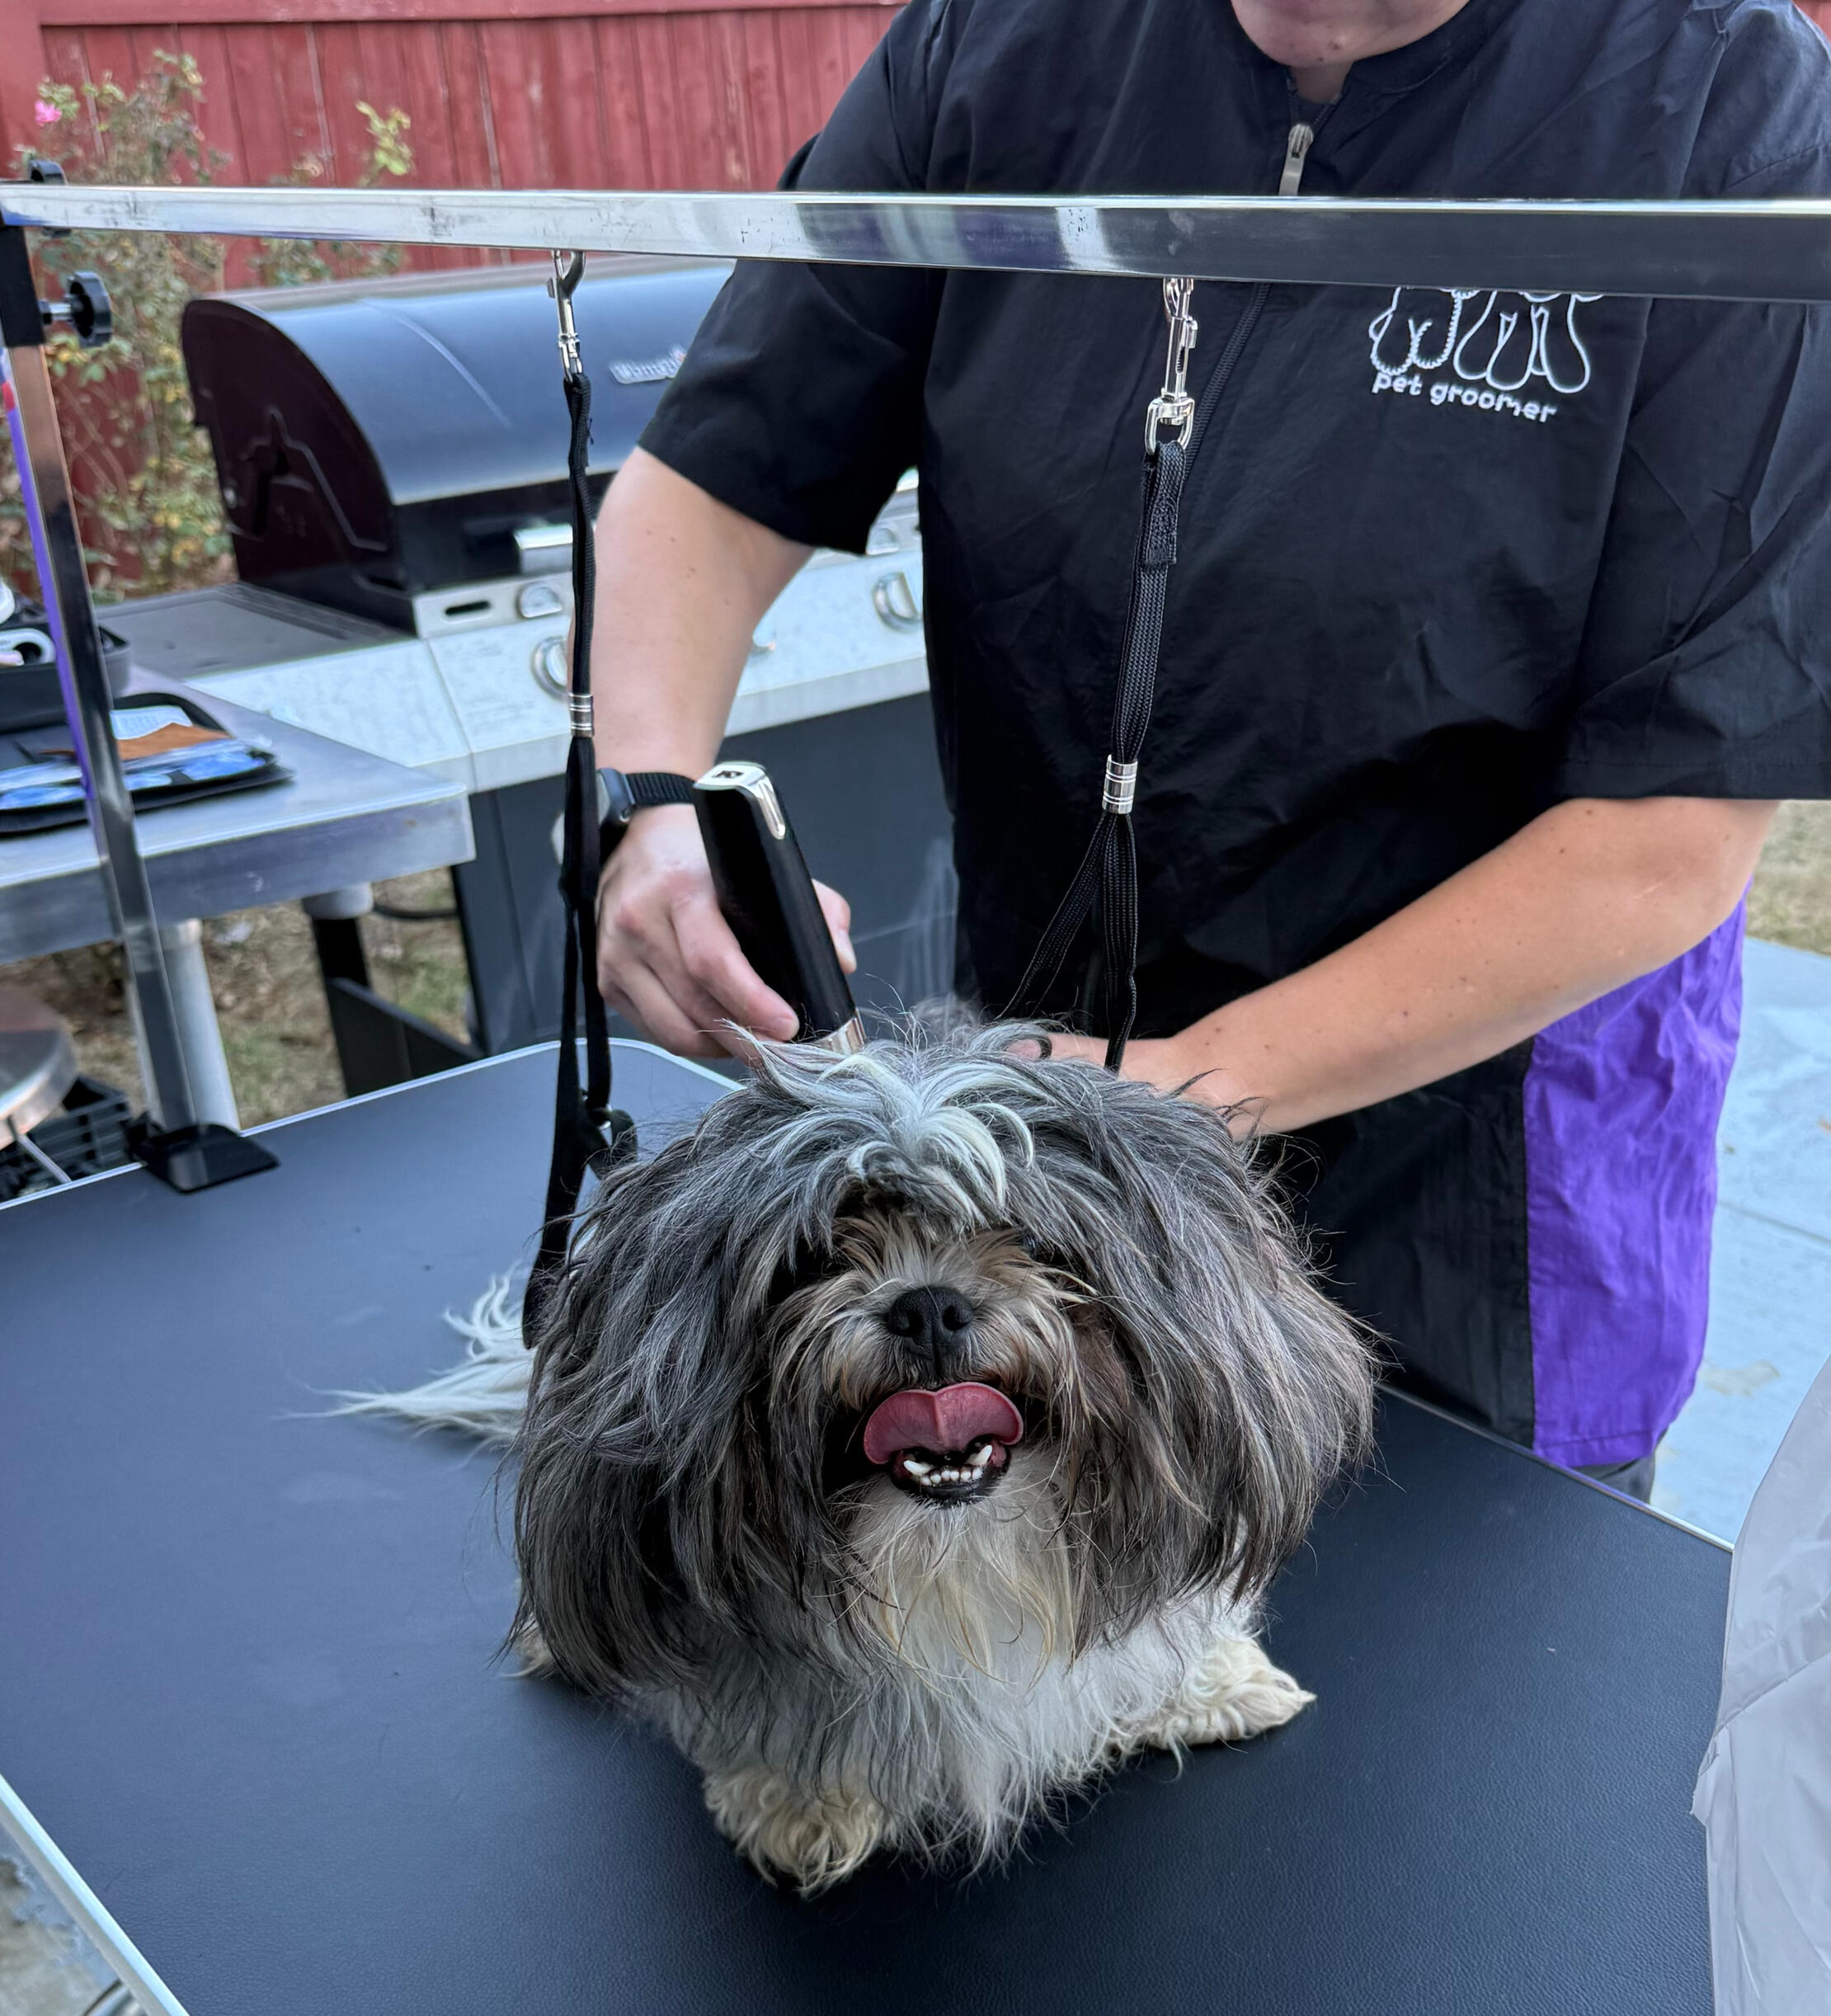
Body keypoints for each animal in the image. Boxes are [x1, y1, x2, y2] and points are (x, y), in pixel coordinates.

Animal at [359, 1021, 1375, 1892]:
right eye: (813, 1255)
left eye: (1028, 1237)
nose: (927, 1305)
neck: (963, 1569)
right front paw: (800, 1797)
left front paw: (1204, 1683)